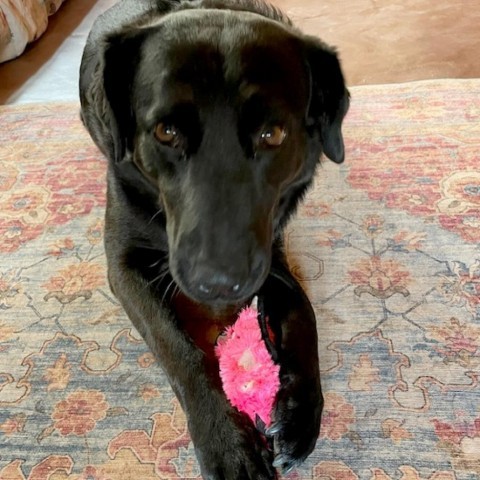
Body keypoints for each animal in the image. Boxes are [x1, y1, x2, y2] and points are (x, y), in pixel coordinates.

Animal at [79, 0, 348, 476]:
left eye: (272, 134)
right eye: (166, 132)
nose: (219, 284)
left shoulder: (271, 253)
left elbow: (304, 312)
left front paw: (300, 409)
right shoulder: (122, 264)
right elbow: (176, 347)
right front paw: (226, 442)